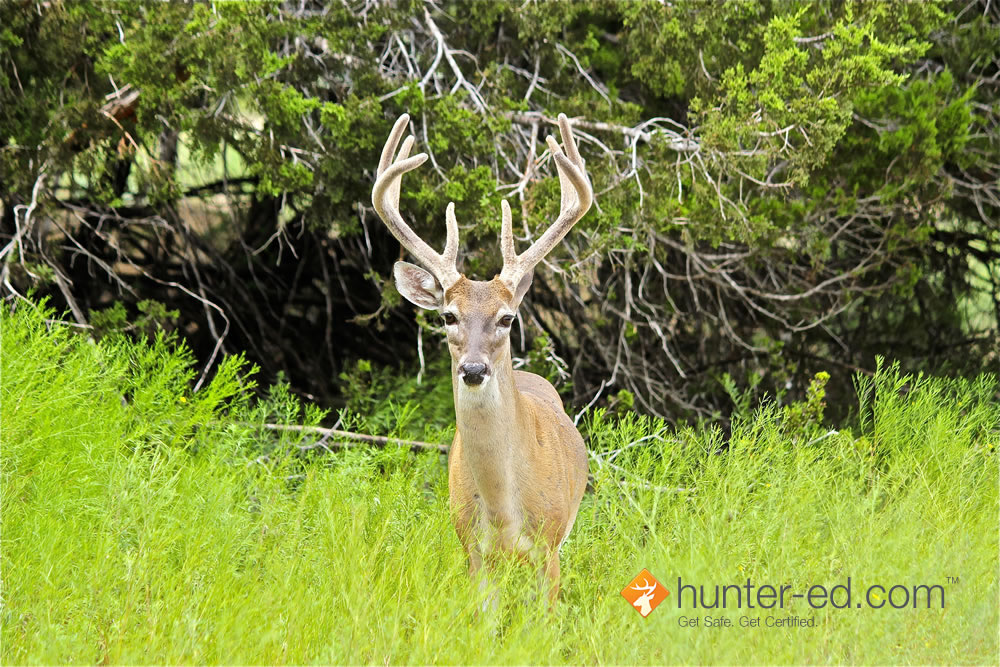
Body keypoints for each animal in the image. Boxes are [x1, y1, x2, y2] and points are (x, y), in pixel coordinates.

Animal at [370, 113, 592, 605]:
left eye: (507, 318)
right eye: (448, 315)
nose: (472, 369)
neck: (503, 509)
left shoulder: (549, 547)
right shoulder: (472, 548)